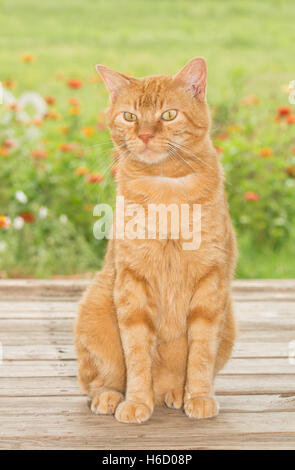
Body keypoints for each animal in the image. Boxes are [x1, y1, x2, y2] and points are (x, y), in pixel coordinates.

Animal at [75, 57, 238, 424]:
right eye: (129, 117)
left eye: (168, 115)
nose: (146, 134)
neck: (166, 188)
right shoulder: (132, 283)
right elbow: (137, 354)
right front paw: (136, 401)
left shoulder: (210, 285)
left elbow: (201, 355)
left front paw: (199, 396)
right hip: (95, 307)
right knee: (96, 380)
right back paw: (110, 397)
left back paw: (176, 393)